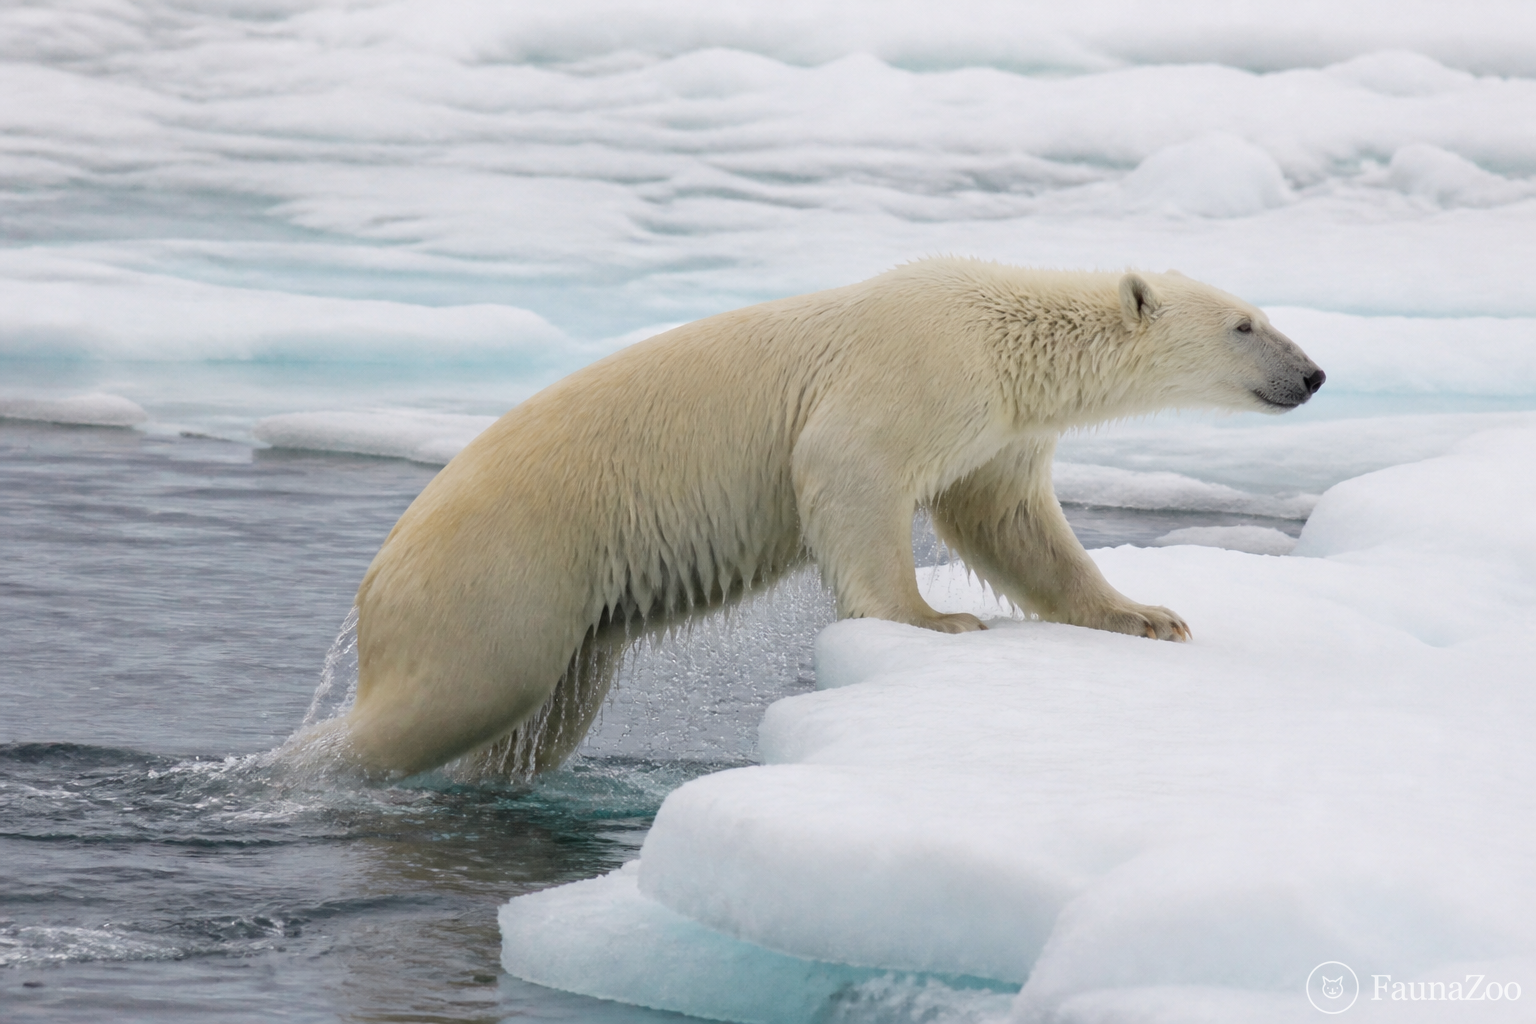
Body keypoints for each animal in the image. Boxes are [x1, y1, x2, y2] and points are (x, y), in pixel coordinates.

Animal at [293, 257, 1323, 781]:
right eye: (1244, 324)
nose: (1313, 374)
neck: (1004, 331)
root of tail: (376, 577)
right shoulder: (921, 364)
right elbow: (850, 466)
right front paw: (937, 619)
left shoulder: (999, 427)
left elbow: (1011, 522)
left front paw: (1147, 615)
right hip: (498, 572)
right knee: (454, 696)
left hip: (570, 618)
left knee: (543, 716)